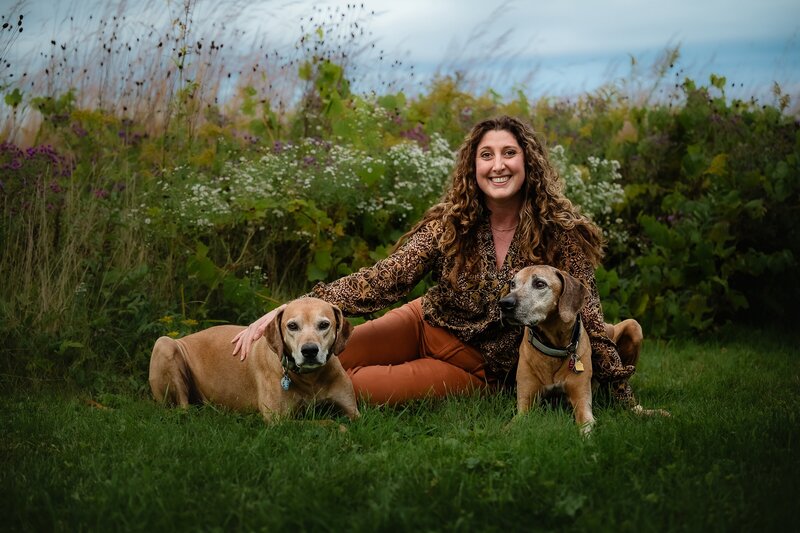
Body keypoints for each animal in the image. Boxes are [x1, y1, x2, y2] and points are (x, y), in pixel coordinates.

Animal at [149, 298, 360, 422]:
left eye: (324, 324)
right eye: (292, 326)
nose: (309, 351)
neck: (310, 379)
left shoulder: (353, 411)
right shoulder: (280, 421)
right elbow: (326, 422)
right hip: (164, 344)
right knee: (182, 409)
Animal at [500, 266, 644, 432]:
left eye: (540, 284)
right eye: (512, 284)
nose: (504, 303)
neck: (553, 347)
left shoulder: (581, 398)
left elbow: (586, 422)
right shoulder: (524, 405)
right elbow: (510, 426)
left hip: (633, 326)